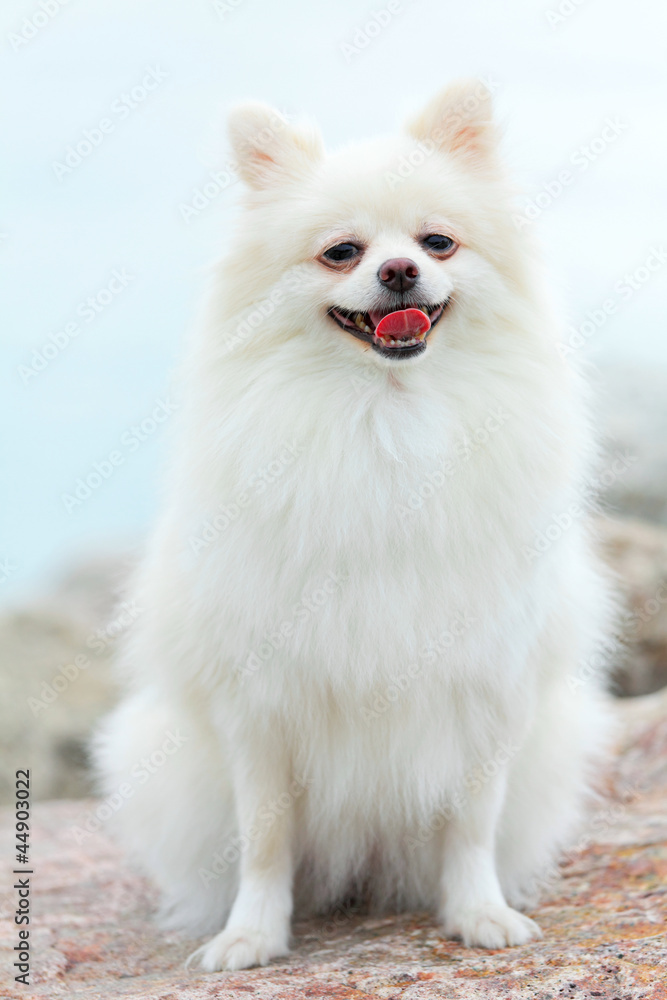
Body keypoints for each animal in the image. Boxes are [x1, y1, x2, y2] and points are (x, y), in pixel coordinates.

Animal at [95, 82, 616, 972]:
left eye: (437, 241)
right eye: (341, 252)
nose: (399, 269)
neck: (386, 420)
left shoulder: (486, 684)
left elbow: (470, 823)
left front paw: (476, 913)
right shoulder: (260, 703)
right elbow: (265, 837)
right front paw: (251, 935)